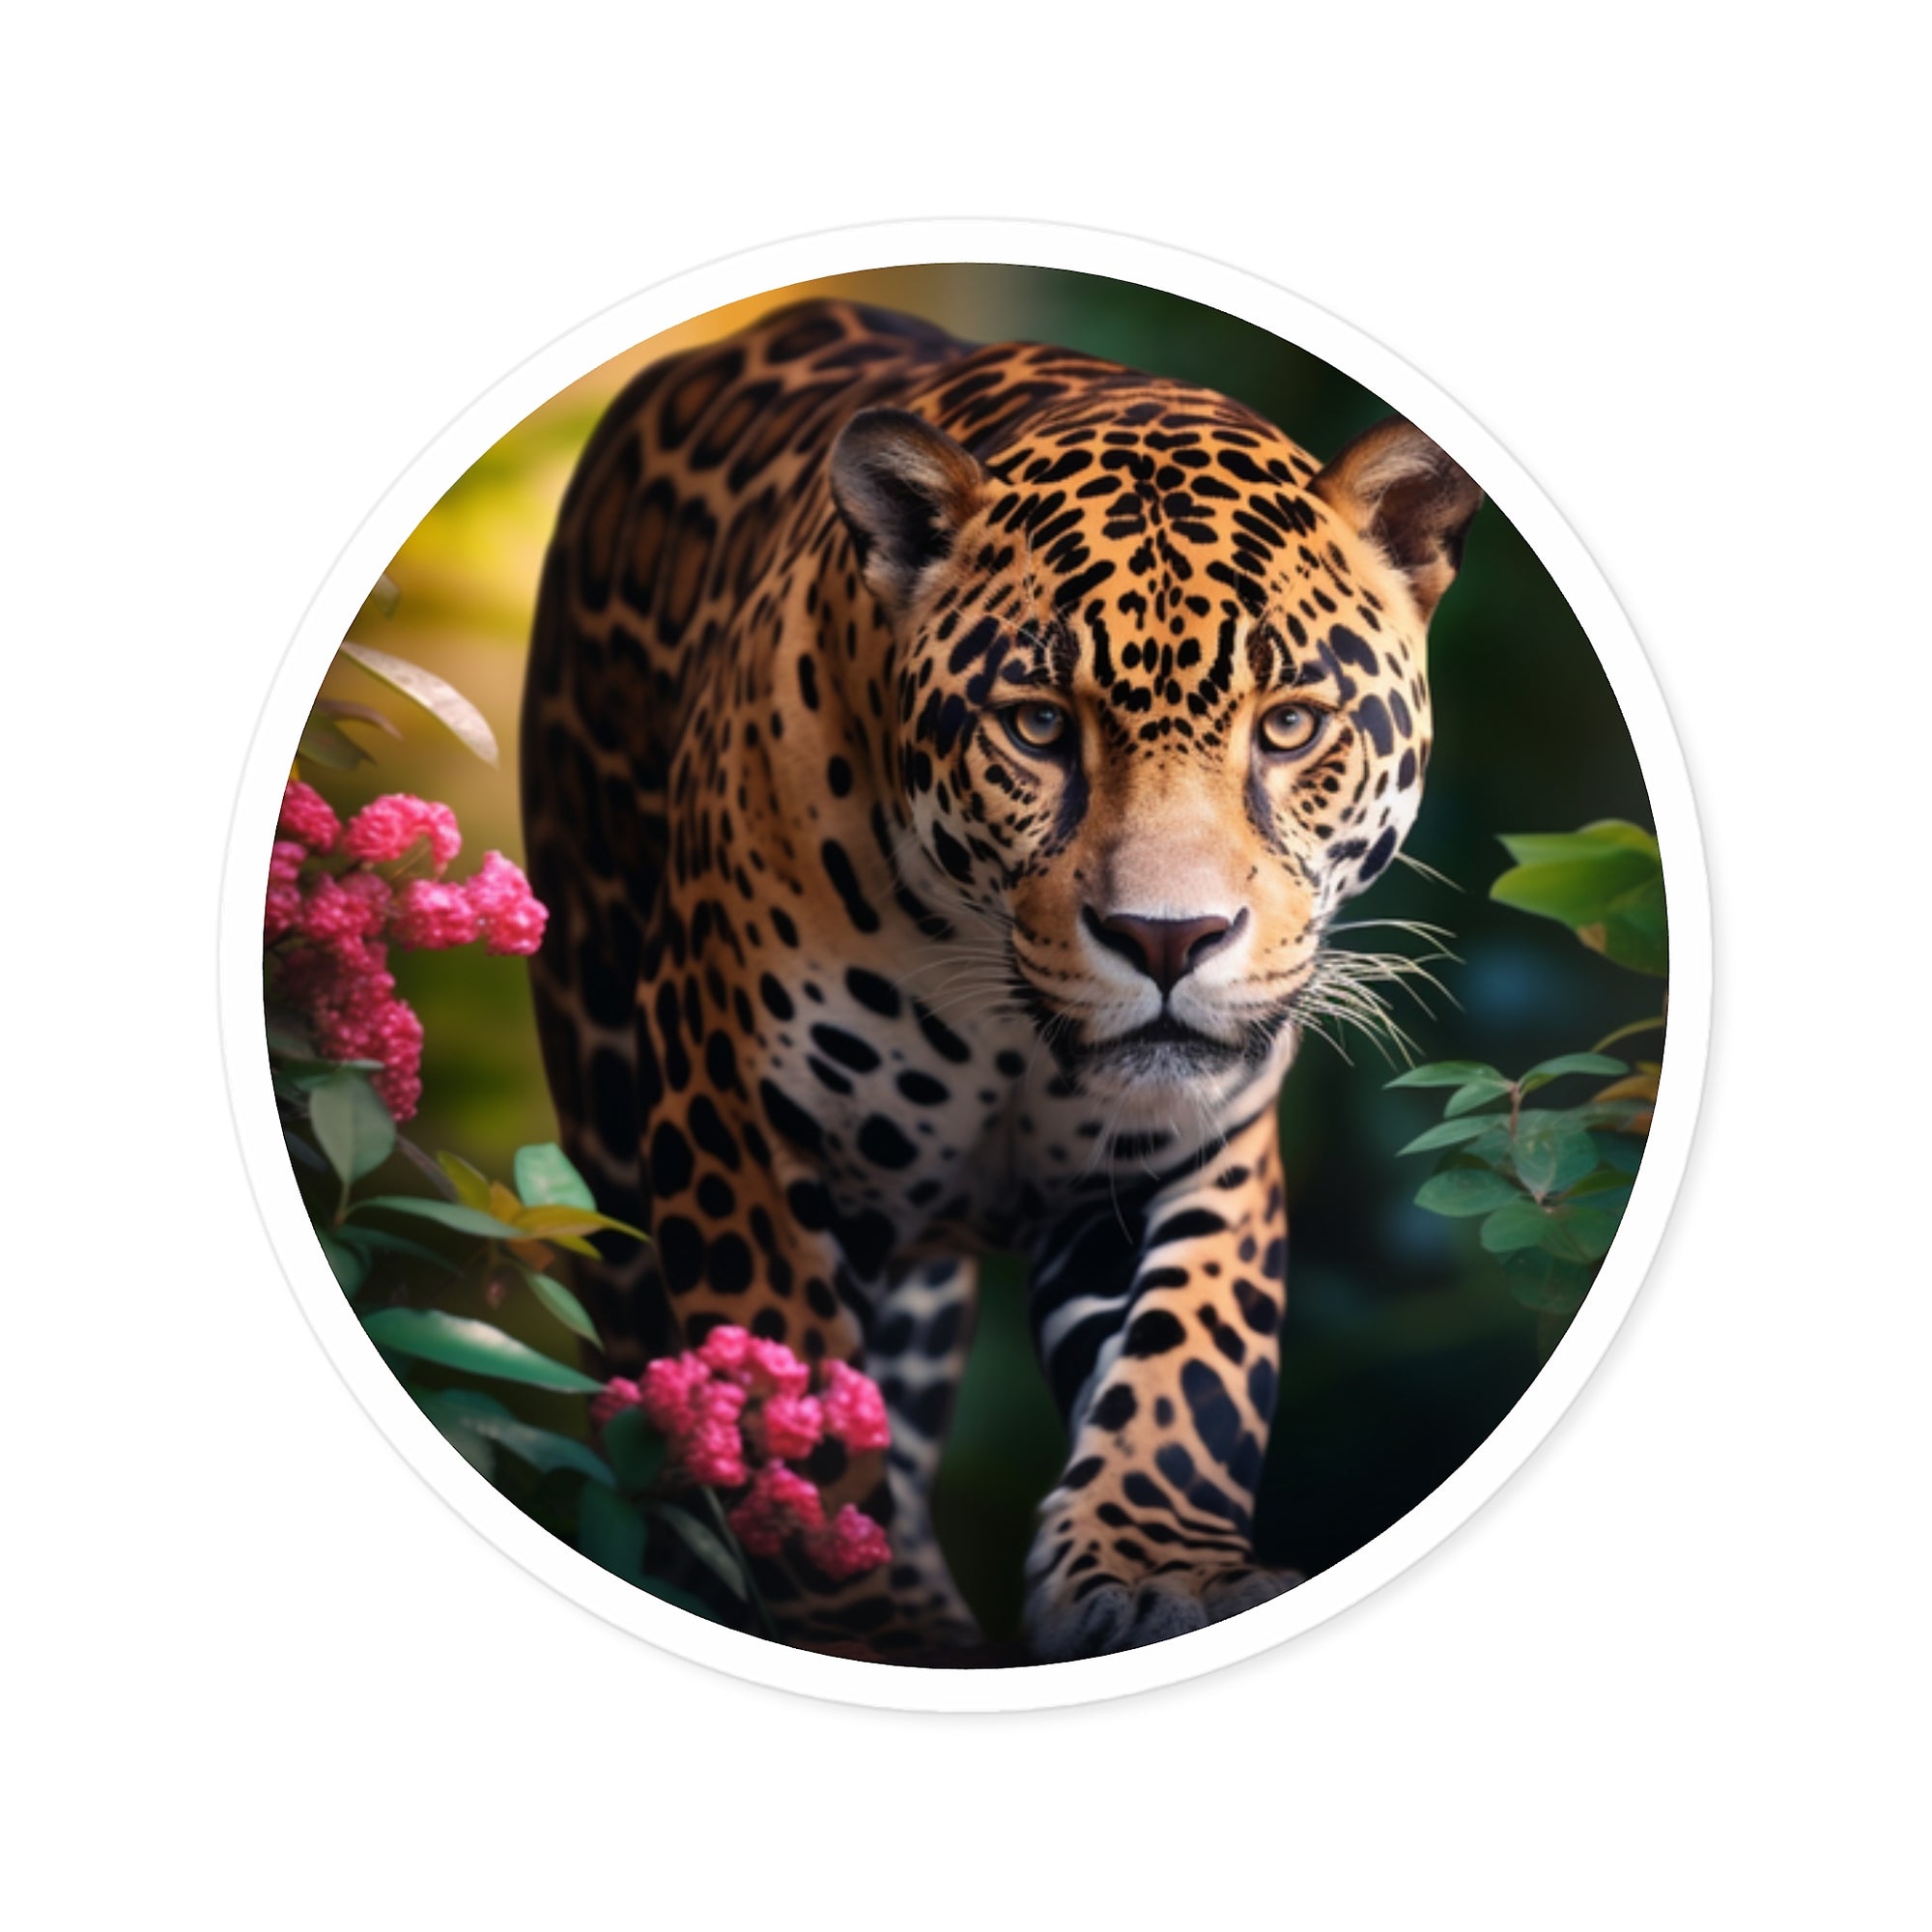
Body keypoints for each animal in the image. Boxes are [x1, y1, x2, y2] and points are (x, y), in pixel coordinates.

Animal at [519, 297, 1480, 1664]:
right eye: (1036, 726)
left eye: (1289, 725)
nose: (1168, 940)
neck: (1007, 1027)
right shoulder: (736, 1123)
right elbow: (782, 1395)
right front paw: (859, 1613)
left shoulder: (1194, 1146)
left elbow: (1188, 1364)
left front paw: (1154, 1571)